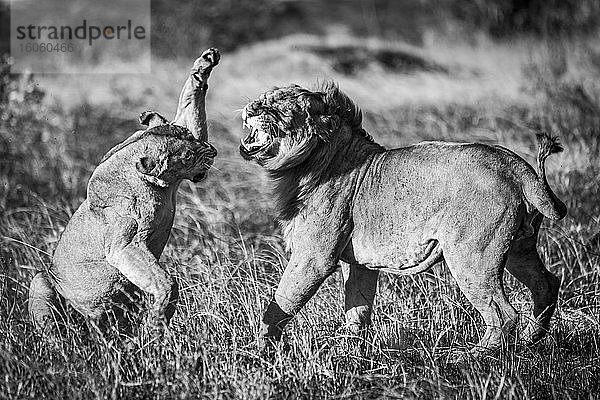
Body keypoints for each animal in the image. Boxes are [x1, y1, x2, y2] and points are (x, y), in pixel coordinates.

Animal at [28, 48, 220, 332]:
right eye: (187, 156)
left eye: (191, 138)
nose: (213, 151)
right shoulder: (124, 246)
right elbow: (166, 282)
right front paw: (157, 321)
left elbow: (189, 103)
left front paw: (204, 64)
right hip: (42, 279)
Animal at [240, 81, 568, 356]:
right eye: (262, 99)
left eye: (280, 107)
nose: (251, 108)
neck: (304, 167)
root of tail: (516, 165)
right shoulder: (359, 264)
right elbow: (357, 309)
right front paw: (349, 353)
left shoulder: (313, 258)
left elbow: (281, 303)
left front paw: (259, 351)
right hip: (518, 248)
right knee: (546, 283)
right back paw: (530, 339)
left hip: (471, 257)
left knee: (504, 312)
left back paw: (473, 355)